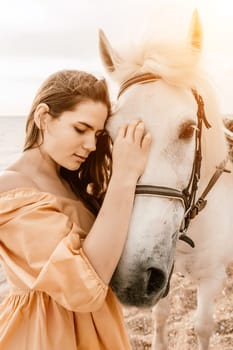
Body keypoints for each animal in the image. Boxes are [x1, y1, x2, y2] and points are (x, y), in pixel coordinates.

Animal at [99, 9, 233, 348]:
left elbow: (203, 327)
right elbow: (160, 316)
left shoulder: (212, 277)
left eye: (188, 129)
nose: (131, 281)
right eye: (108, 135)